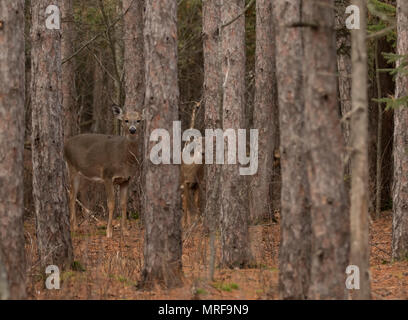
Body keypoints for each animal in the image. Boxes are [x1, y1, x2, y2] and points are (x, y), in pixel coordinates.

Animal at [63, 105, 143, 238]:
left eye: (138, 120)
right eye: (126, 120)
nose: (132, 130)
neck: (123, 158)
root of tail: (65, 144)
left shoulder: (126, 180)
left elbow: (123, 204)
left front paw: (125, 230)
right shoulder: (107, 175)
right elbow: (111, 203)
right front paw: (109, 231)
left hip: (85, 175)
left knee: (78, 195)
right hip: (72, 168)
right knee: (72, 196)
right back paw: (74, 228)